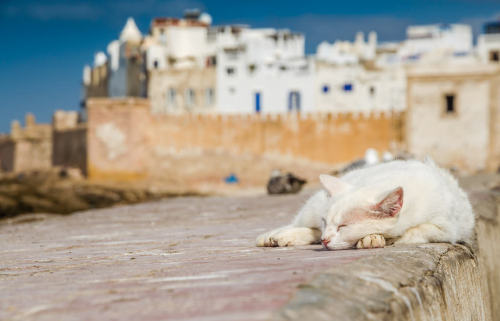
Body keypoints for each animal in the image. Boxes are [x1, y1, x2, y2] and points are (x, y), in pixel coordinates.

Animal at [256, 159, 474, 249]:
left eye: (344, 226)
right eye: (326, 221)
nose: (326, 240)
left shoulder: (446, 229)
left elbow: (415, 231)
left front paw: (376, 238)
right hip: (313, 207)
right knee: (302, 225)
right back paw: (276, 236)